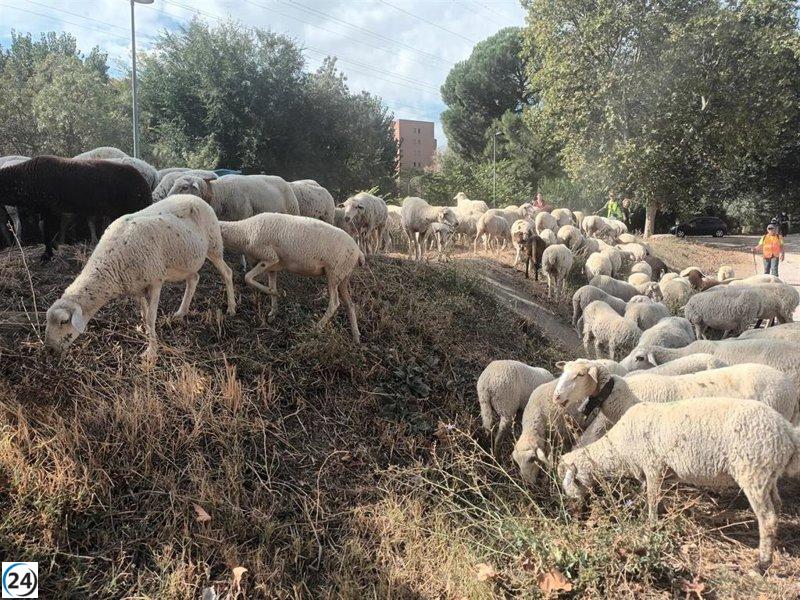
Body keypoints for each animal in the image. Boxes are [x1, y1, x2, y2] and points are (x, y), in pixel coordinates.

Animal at [44, 195, 236, 360]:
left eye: (64, 321)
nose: (49, 350)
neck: (111, 261)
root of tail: (196, 197)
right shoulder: (136, 286)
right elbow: (144, 312)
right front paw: (145, 331)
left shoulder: (155, 281)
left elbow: (151, 317)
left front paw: (151, 351)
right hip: (185, 262)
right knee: (194, 278)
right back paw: (181, 312)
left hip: (214, 246)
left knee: (227, 273)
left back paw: (231, 308)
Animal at [558, 397, 800, 569]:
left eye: (571, 479)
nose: (574, 510)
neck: (619, 448)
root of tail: (786, 432)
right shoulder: (660, 472)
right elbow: (657, 496)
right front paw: (661, 516)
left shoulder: (652, 464)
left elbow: (652, 498)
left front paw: (651, 525)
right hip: (767, 474)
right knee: (776, 507)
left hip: (752, 470)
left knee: (767, 518)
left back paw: (762, 563)